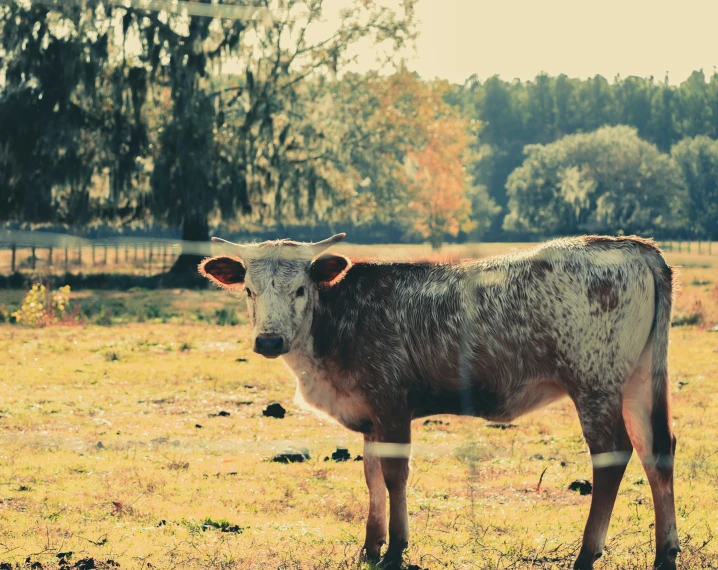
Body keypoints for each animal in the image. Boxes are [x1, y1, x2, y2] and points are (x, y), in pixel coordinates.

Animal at [198, 233, 680, 564]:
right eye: (248, 290)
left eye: (300, 289)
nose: (269, 340)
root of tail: (635, 247)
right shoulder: (370, 416)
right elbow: (371, 476)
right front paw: (370, 546)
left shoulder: (391, 403)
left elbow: (394, 476)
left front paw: (395, 549)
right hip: (638, 380)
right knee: (656, 449)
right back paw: (665, 552)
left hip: (594, 380)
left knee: (612, 455)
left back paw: (587, 553)